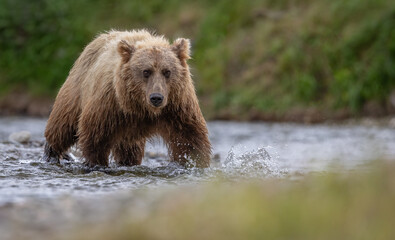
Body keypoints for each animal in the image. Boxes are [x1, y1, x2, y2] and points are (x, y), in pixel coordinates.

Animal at [42, 29, 213, 167]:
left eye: (167, 71)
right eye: (146, 71)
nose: (156, 97)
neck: (141, 108)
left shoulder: (177, 105)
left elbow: (190, 137)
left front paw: (195, 162)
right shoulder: (110, 103)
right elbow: (95, 135)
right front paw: (96, 163)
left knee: (130, 149)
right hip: (77, 89)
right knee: (63, 124)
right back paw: (51, 154)